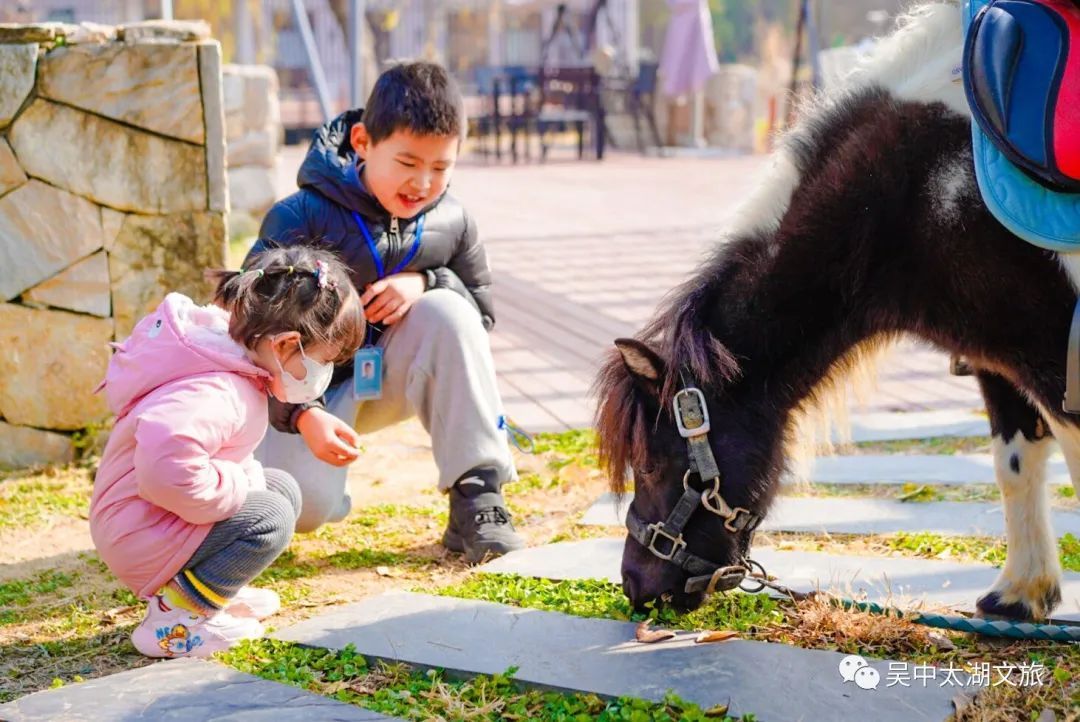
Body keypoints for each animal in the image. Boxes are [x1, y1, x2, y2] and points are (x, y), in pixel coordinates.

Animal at [596, 1, 1075, 621]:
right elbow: (1015, 461)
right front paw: (1021, 593)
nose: (637, 586)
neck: (921, 186)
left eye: (653, 464)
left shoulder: (1050, 354)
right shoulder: (997, 355)